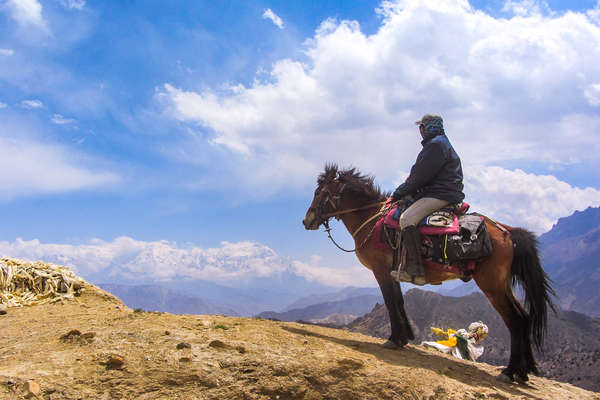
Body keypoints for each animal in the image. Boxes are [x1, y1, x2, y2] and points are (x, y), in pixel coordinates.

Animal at [302, 164, 556, 382]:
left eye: (319, 192)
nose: (307, 220)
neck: (371, 220)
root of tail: (508, 232)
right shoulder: (394, 271)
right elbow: (399, 301)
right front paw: (404, 337)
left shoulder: (381, 271)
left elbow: (390, 302)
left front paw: (394, 339)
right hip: (502, 285)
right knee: (524, 317)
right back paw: (523, 372)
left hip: (492, 285)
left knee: (515, 320)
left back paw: (510, 371)